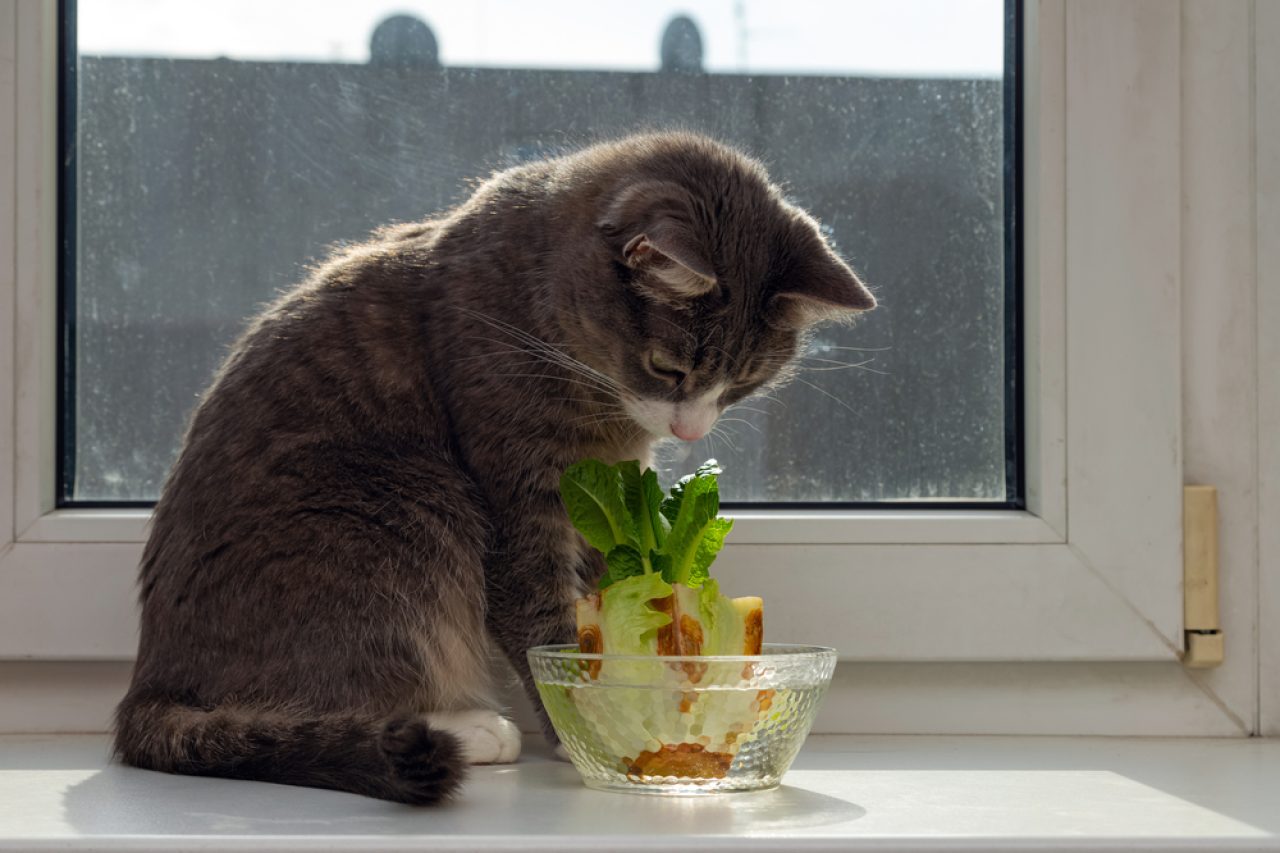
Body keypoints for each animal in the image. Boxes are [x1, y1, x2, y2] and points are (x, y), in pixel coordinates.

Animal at [112, 129, 870, 799]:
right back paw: (472, 728)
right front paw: (591, 724)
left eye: (743, 381)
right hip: (410, 511)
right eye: (668, 367)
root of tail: (151, 686)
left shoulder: (602, 487)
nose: (691, 428)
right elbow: (535, 605)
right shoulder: (514, 476)